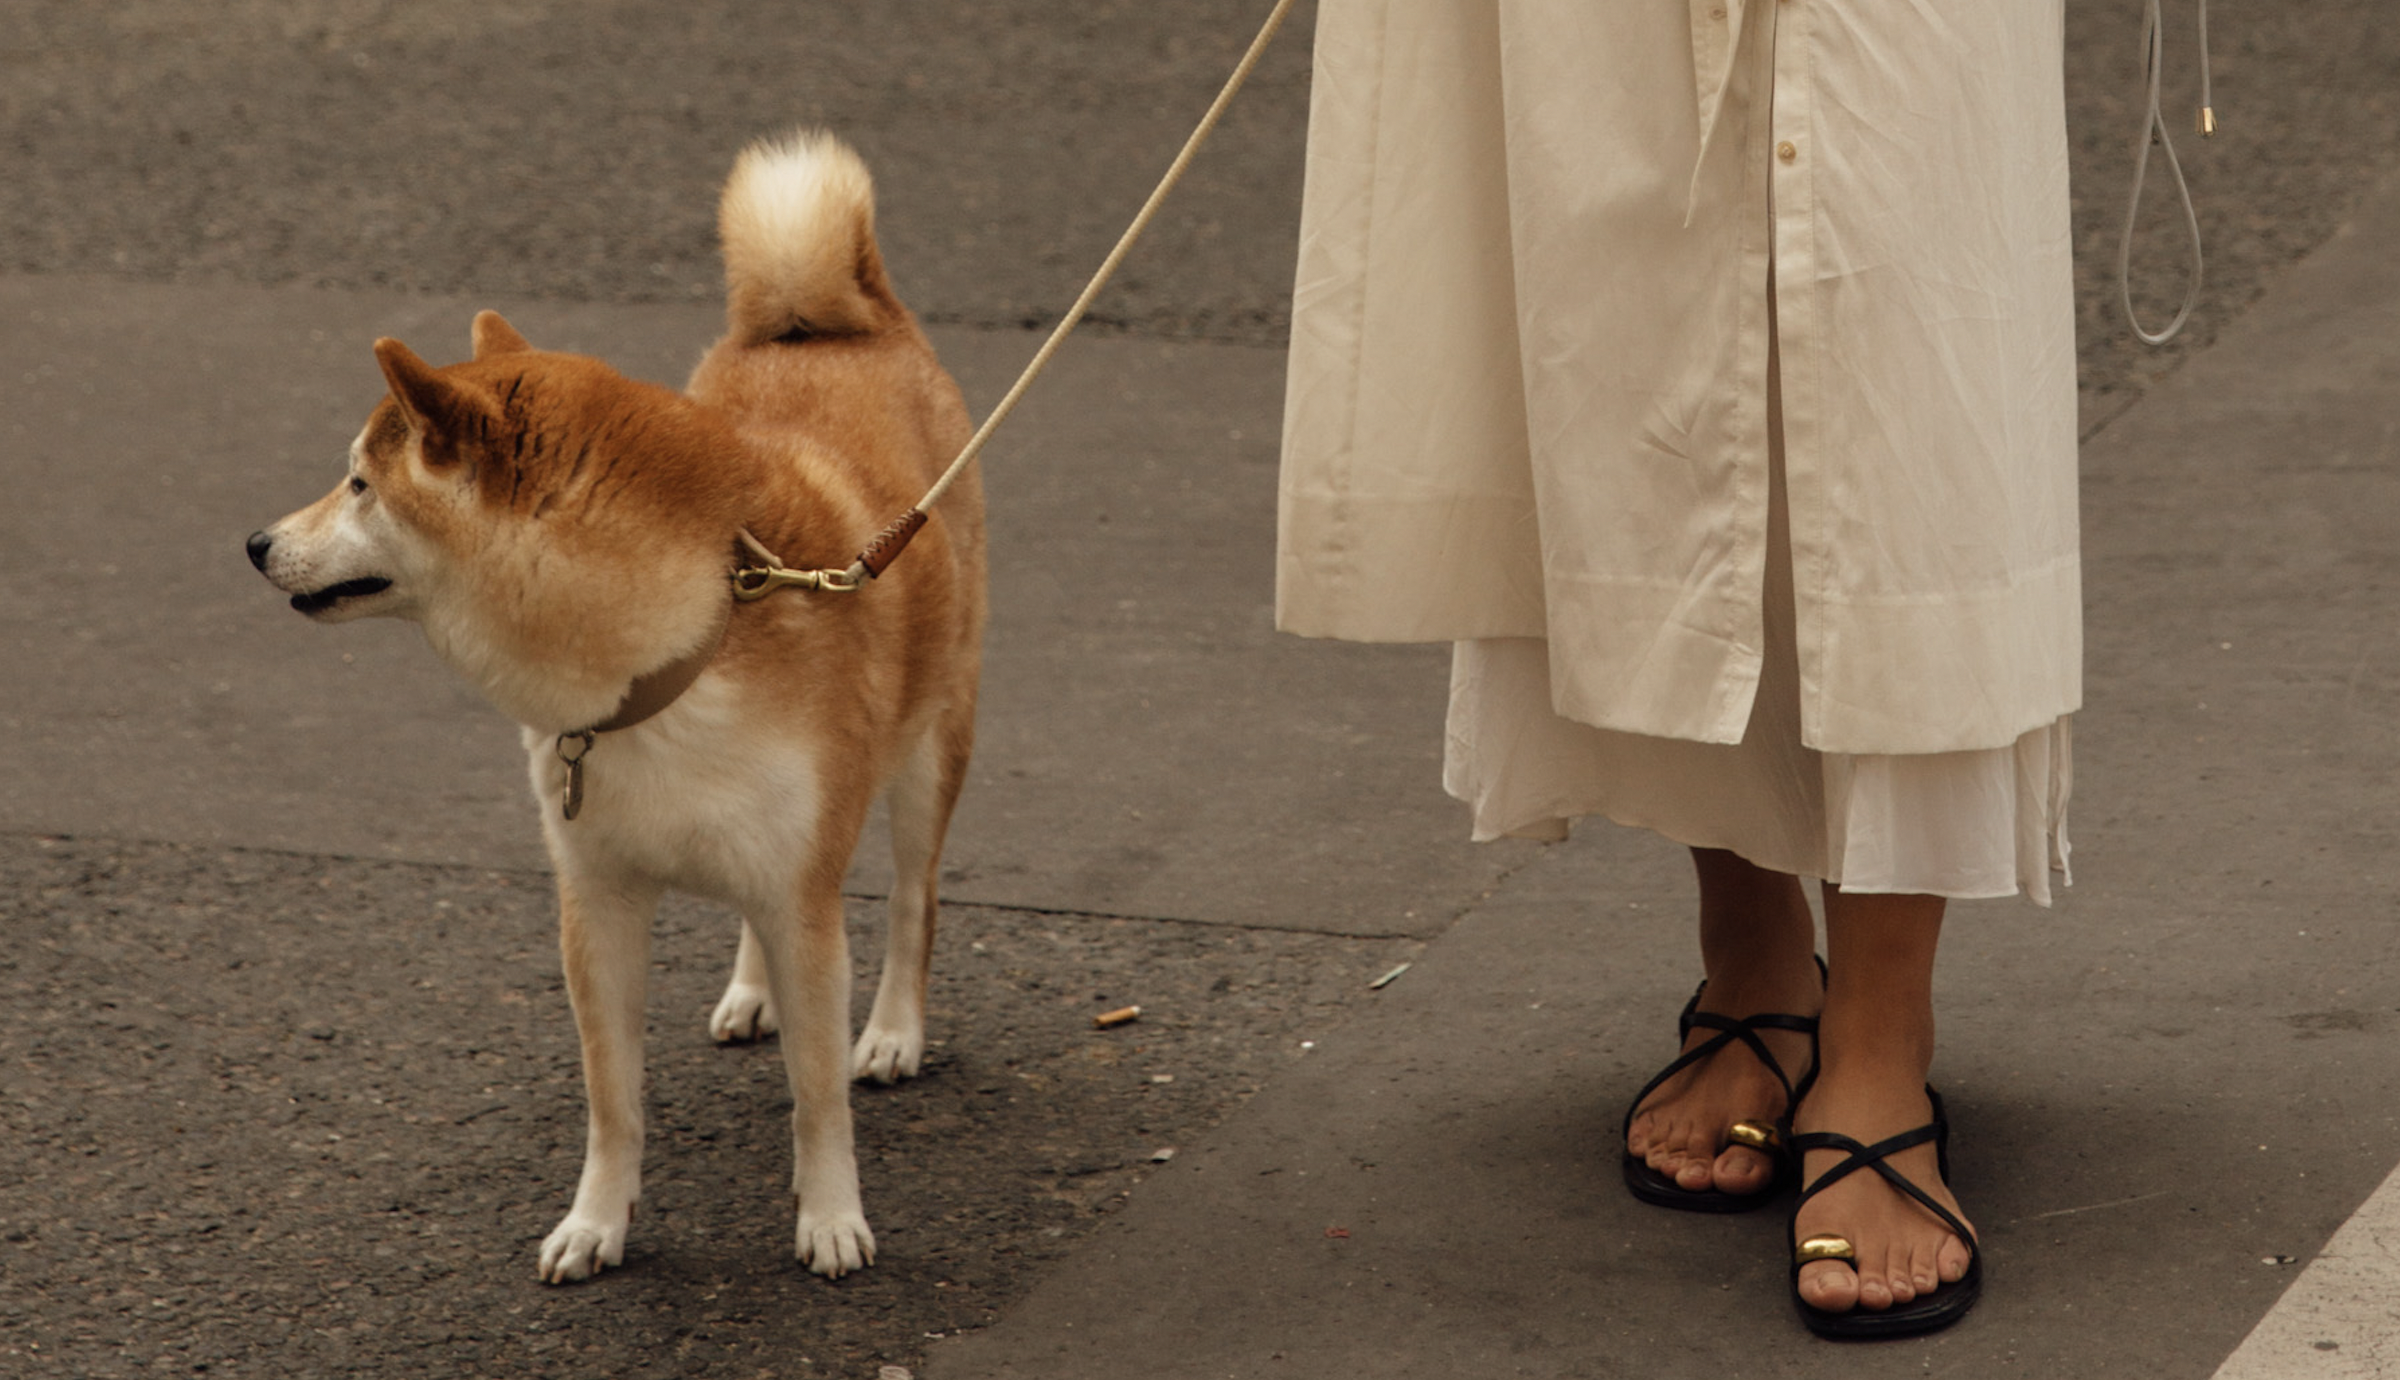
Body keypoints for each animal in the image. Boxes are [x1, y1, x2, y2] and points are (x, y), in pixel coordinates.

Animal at [246, 132, 984, 1286]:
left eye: (359, 483)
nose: (256, 543)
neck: (670, 654)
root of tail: (828, 327)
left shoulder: (801, 896)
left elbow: (816, 1094)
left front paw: (829, 1216)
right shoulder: (597, 900)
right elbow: (613, 1100)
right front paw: (596, 1224)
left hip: (928, 750)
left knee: (914, 899)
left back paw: (895, 1031)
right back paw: (753, 993)